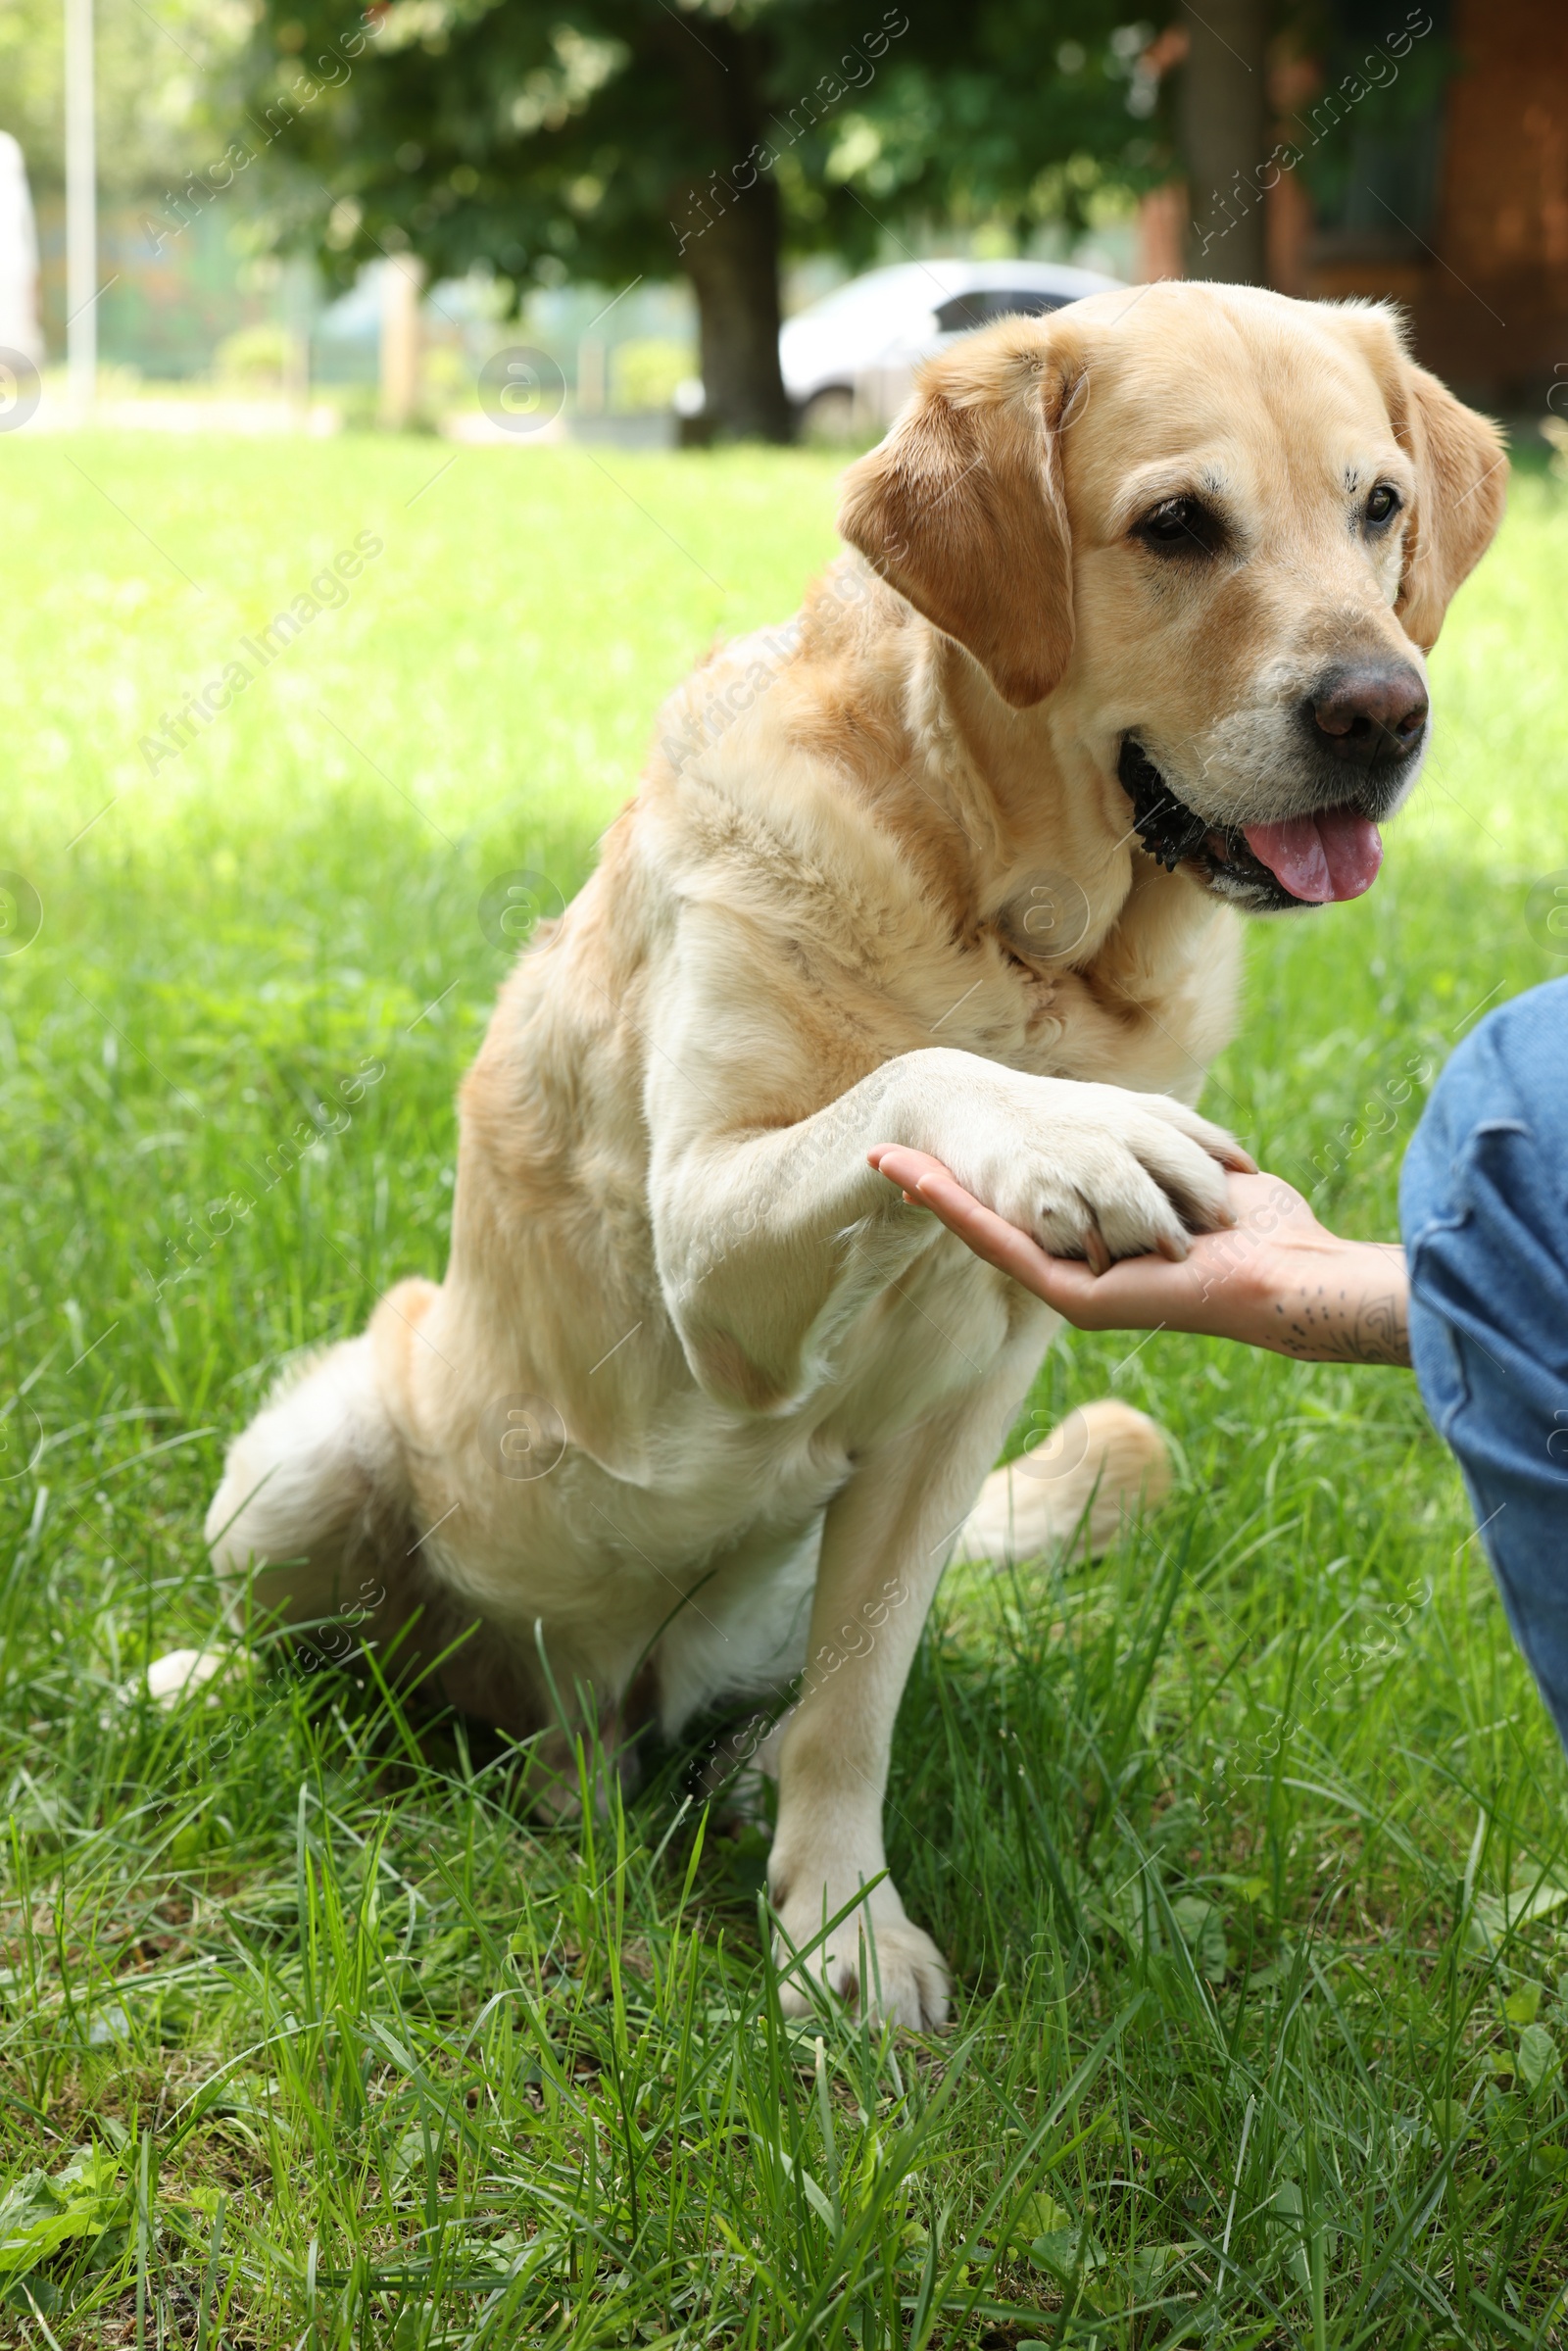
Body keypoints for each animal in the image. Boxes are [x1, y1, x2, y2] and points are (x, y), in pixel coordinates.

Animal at [202, 284, 1504, 2031]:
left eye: (1379, 507)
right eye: (1178, 523)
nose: (1383, 709)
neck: (1013, 916)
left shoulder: (957, 1408)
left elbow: (858, 1702)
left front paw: (837, 1929)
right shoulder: (701, 1250)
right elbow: (908, 1076)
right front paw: (1061, 1122)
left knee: (722, 1708)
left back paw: (699, 1771)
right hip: (311, 1450)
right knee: (312, 1660)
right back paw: (204, 1684)